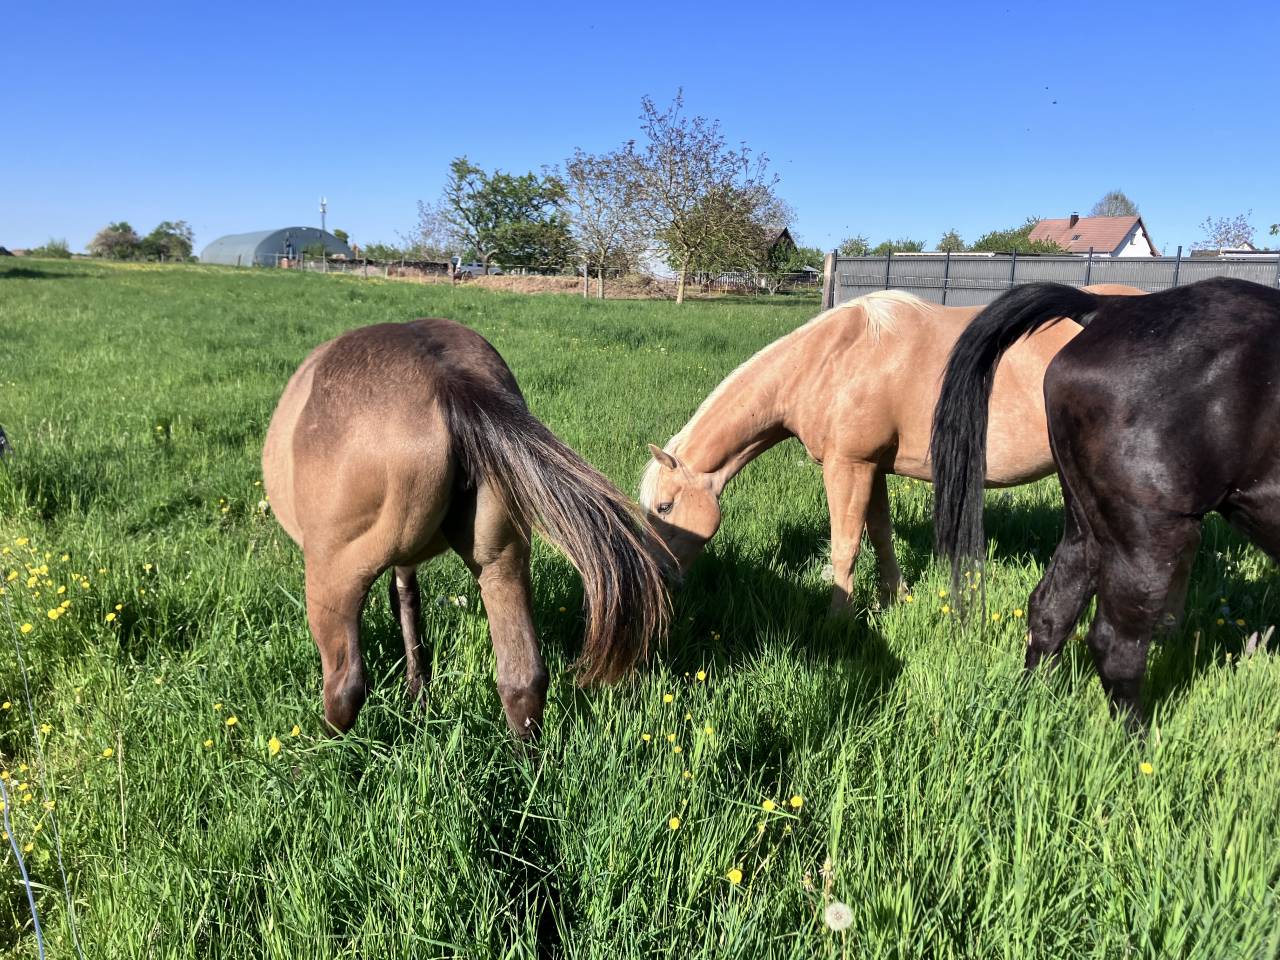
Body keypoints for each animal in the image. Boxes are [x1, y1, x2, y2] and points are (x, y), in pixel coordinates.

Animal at [263, 318, 669, 738]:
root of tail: (450, 383)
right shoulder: (410, 561)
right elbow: (408, 604)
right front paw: (419, 696)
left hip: (333, 576)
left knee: (345, 688)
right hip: (502, 561)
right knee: (523, 679)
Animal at [639, 285, 1145, 612]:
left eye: (664, 507)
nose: (658, 580)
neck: (831, 359)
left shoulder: (848, 466)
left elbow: (845, 547)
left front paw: (839, 621)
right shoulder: (874, 468)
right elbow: (881, 535)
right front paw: (894, 598)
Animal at [930, 277, 1280, 726]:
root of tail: (1108, 309)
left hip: (1088, 524)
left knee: (1051, 608)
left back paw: (1030, 703)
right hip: (1149, 535)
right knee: (1115, 645)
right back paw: (1138, 740)